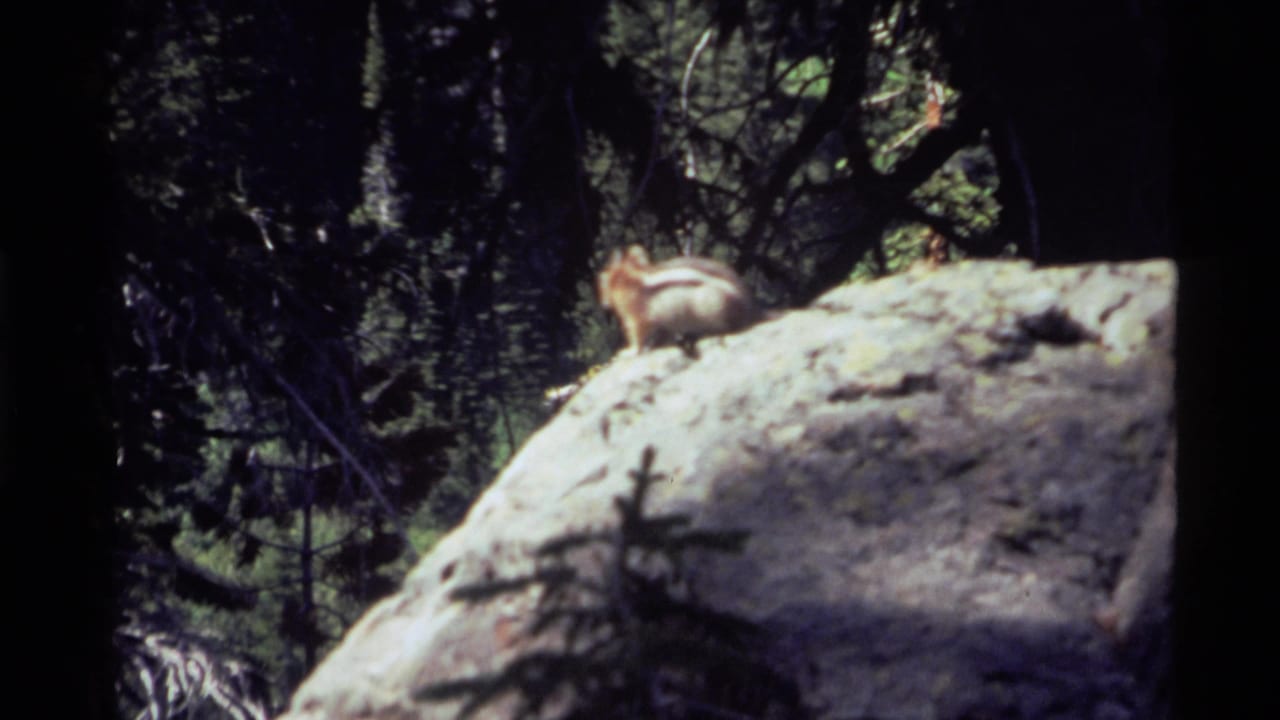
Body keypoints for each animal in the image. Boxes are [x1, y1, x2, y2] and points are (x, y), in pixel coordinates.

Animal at [597, 245, 762, 353]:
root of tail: (751, 311)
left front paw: (628, 353)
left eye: (604, 281)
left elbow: (637, 337)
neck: (635, 280)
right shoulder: (665, 323)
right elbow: (663, 335)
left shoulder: (637, 319)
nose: (604, 305)